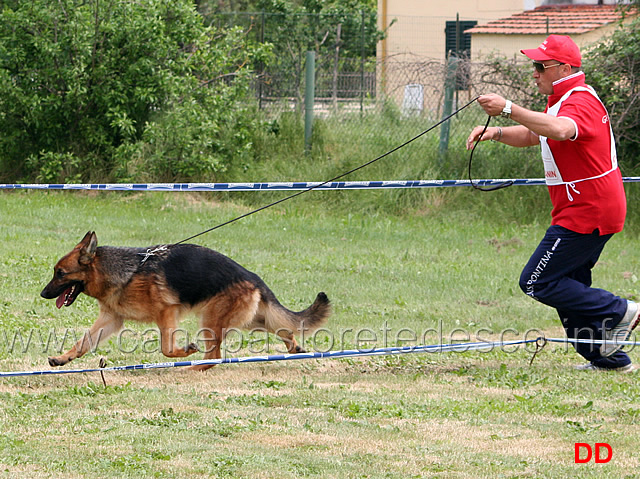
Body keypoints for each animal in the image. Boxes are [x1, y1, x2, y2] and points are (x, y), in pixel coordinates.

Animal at [41, 232, 330, 372]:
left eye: (60, 273)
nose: (43, 294)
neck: (126, 272)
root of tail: (253, 277)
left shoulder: (166, 313)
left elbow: (167, 349)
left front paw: (185, 351)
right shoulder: (111, 319)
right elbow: (83, 343)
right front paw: (62, 359)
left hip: (211, 321)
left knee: (215, 356)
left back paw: (194, 366)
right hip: (250, 319)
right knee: (284, 328)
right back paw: (295, 347)